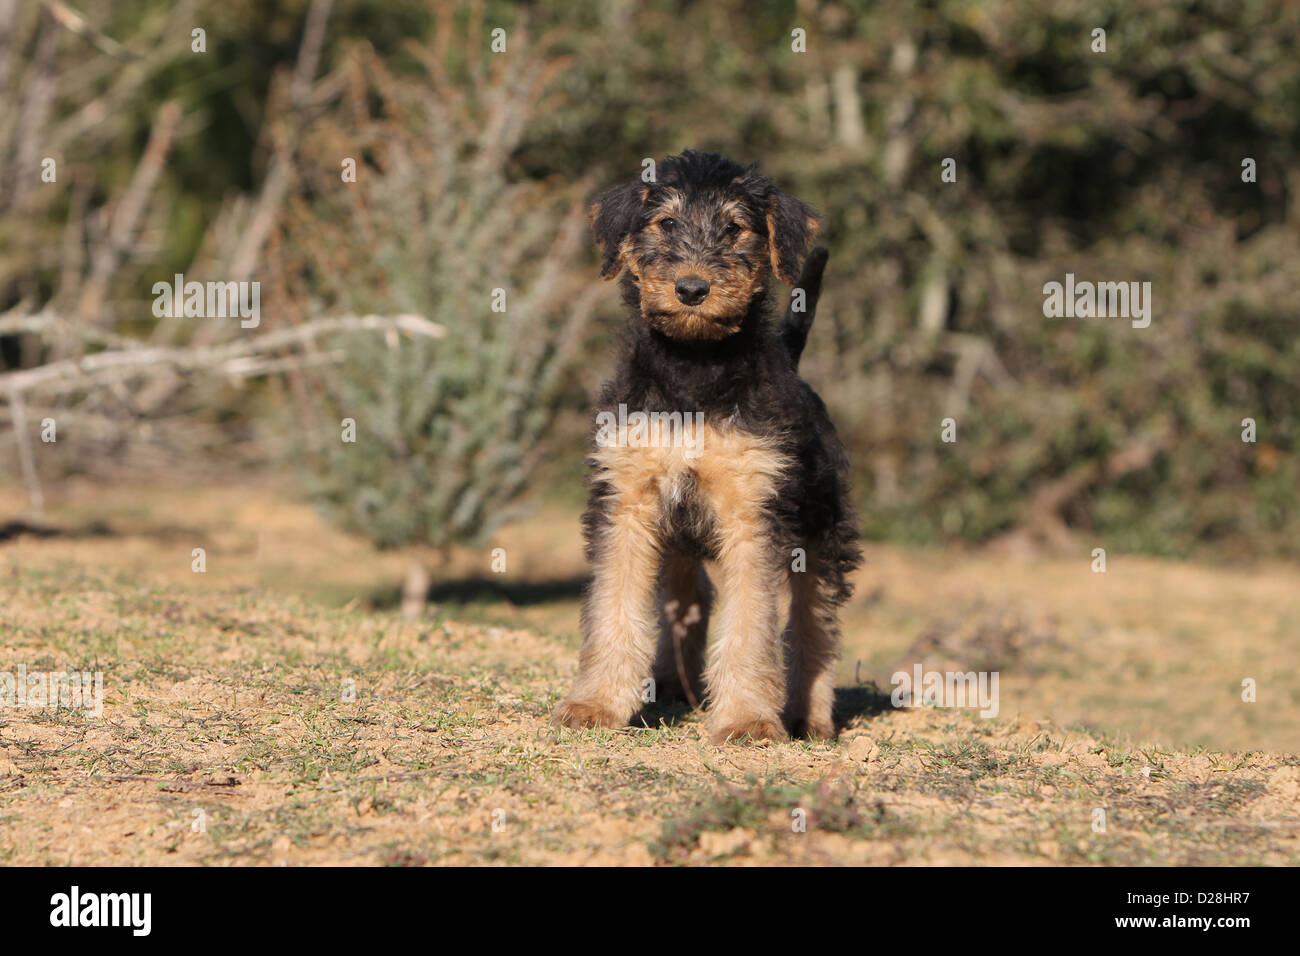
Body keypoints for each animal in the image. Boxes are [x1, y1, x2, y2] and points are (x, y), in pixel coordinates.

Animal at [553, 151, 857, 749]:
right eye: (665, 222)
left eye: (735, 227)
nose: (692, 289)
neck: (693, 367)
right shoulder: (626, 503)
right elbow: (612, 608)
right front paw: (595, 704)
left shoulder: (753, 514)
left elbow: (750, 625)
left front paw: (747, 720)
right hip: (677, 539)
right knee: (691, 597)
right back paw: (673, 685)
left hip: (822, 531)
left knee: (814, 624)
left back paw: (809, 719)